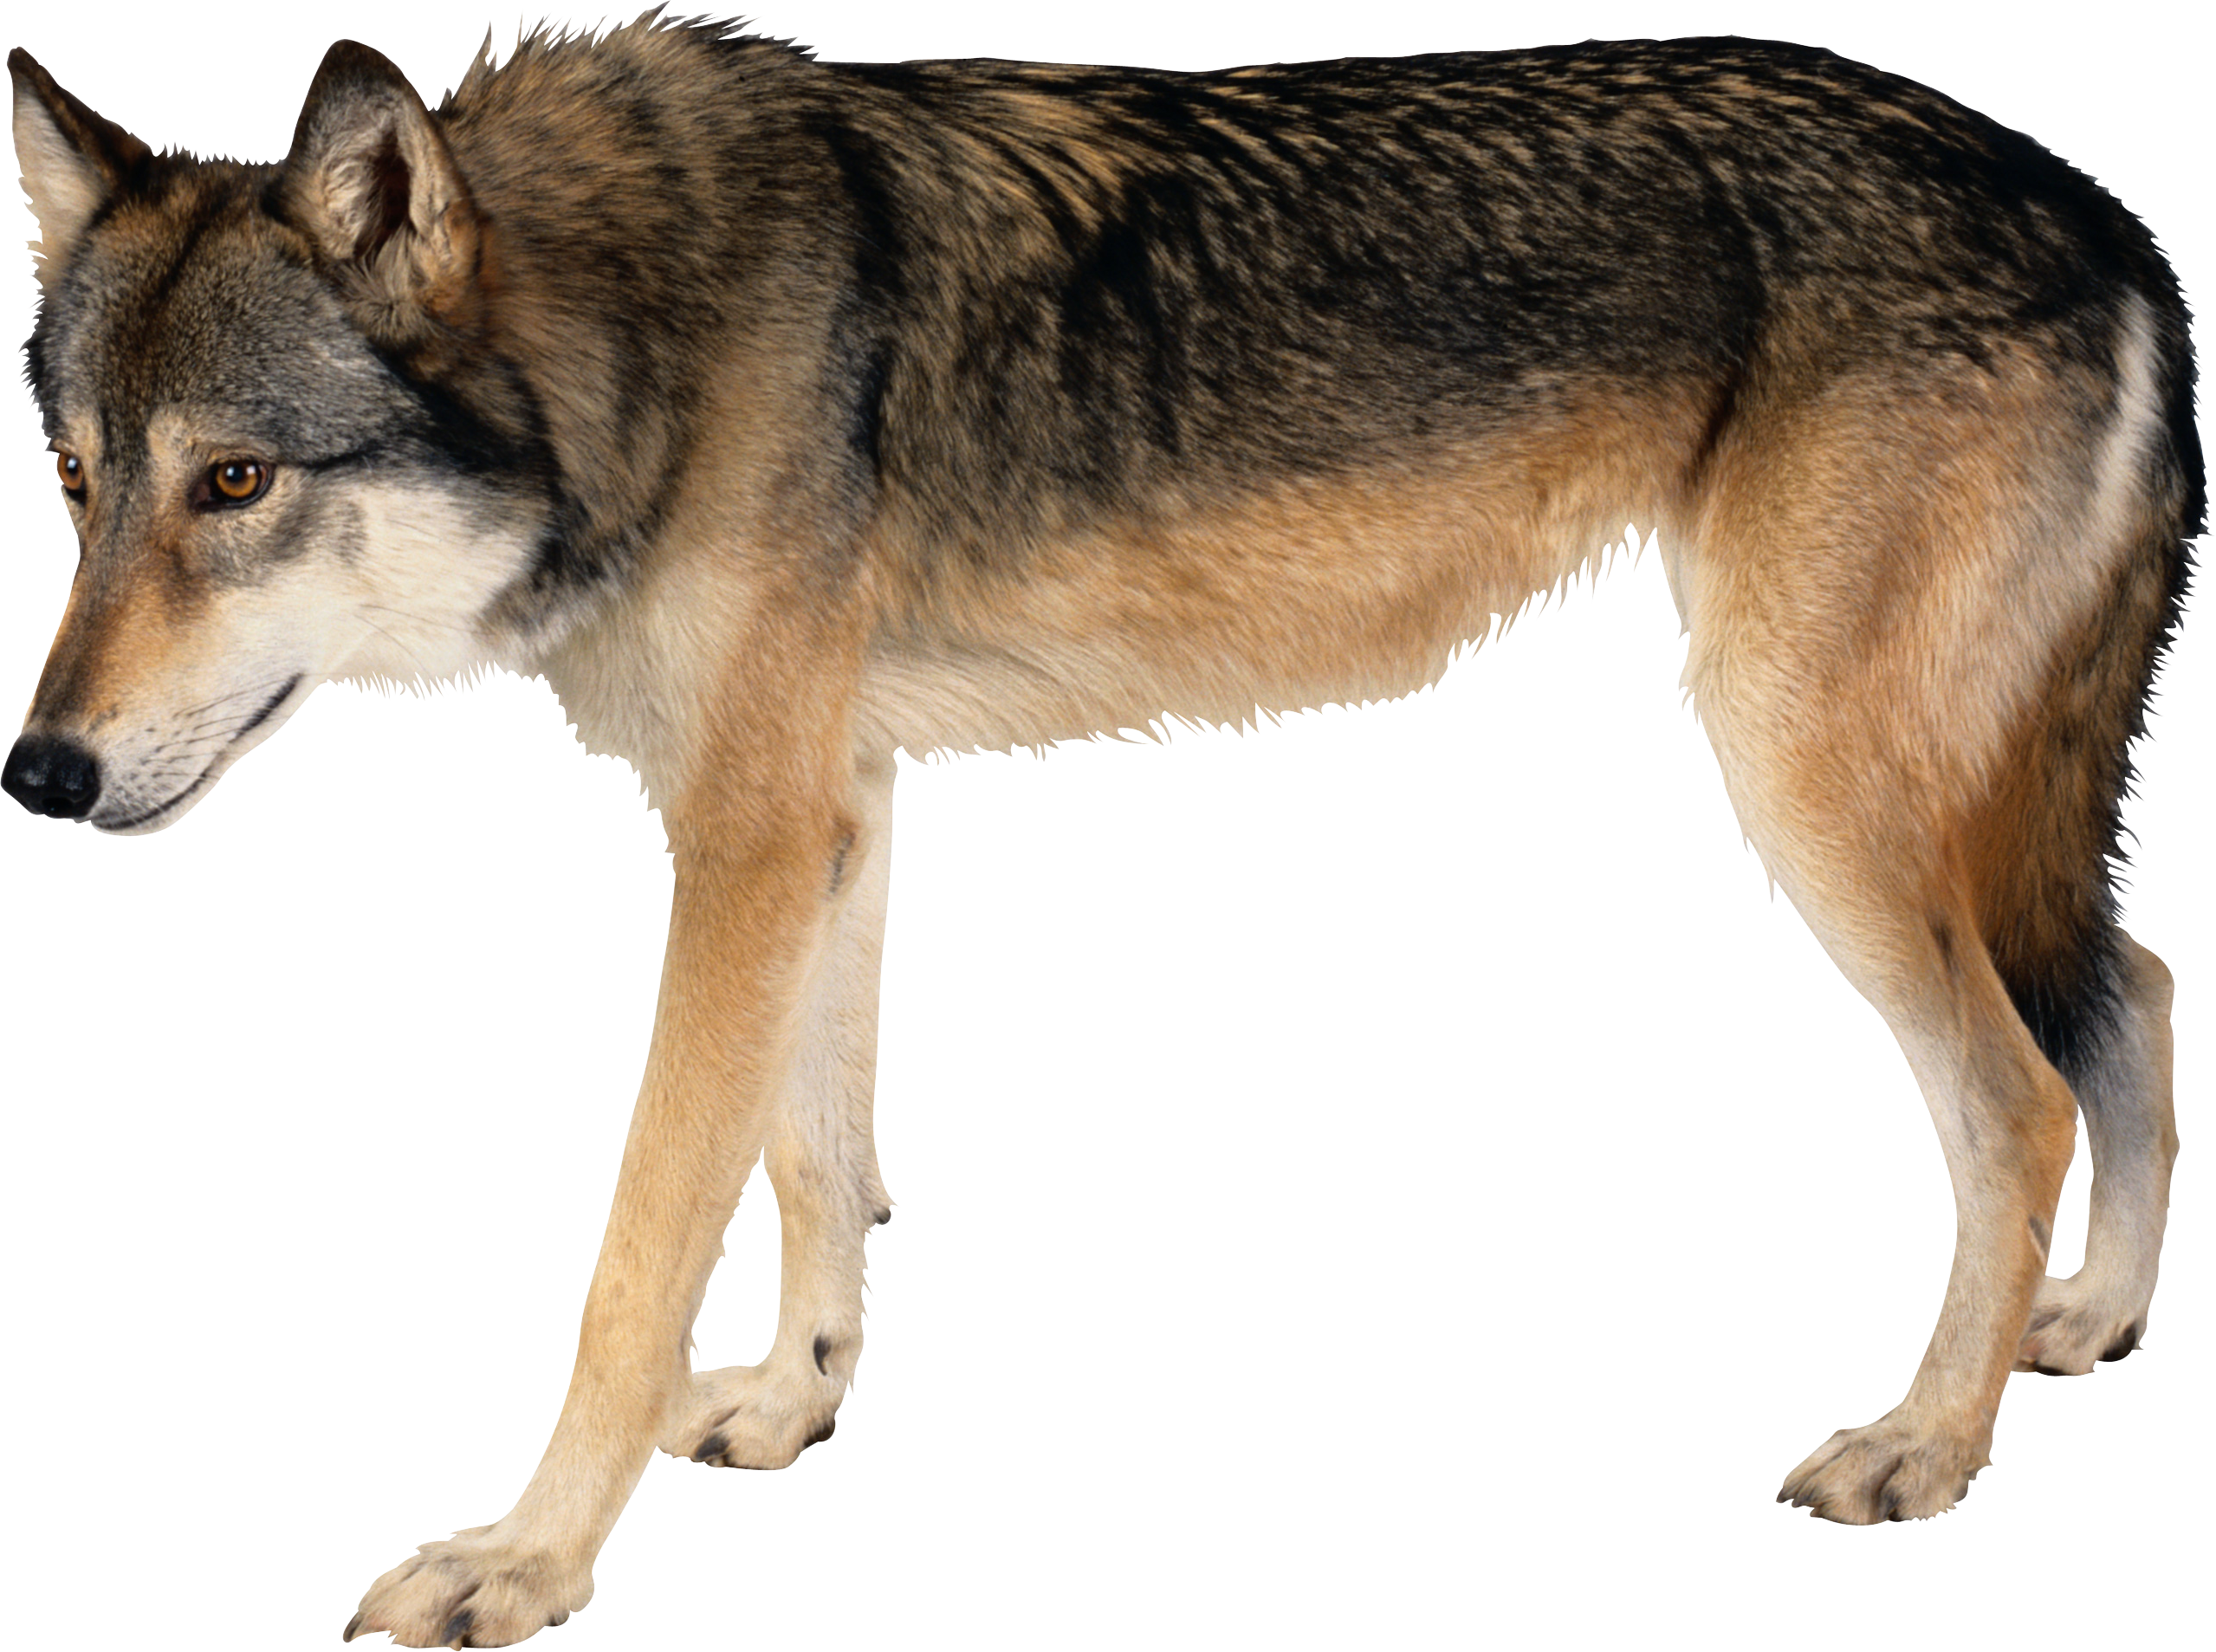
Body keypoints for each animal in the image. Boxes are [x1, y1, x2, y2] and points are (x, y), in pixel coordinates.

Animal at [3, 12, 2202, 1645]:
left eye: (236, 481)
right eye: (80, 480)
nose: (37, 774)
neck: (646, 329)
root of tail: (2106, 209)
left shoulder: (741, 833)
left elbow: (637, 1251)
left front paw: (526, 1560)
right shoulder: (825, 804)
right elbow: (817, 1158)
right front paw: (797, 1399)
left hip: (1798, 773)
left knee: (2015, 1091)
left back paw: (1925, 1442)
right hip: (1944, 801)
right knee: (2142, 979)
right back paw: (2086, 1323)